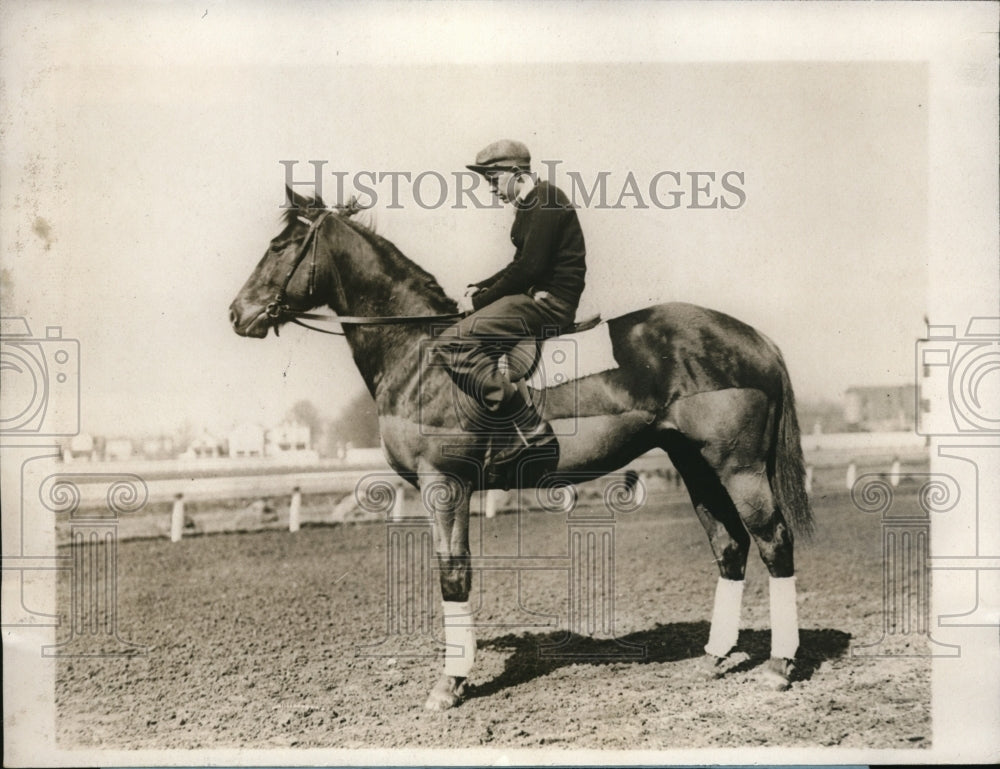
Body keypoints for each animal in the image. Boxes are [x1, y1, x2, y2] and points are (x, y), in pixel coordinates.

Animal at [232, 189, 812, 712]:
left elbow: (453, 573)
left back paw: (779, 666)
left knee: (773, 542)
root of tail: (754, 338)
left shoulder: (445, 483)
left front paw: (450, 684)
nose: (238, 313)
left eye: (280, 245)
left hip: (738, 468)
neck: (420, 354)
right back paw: (715, 656)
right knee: (730, 547)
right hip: (695, 465)